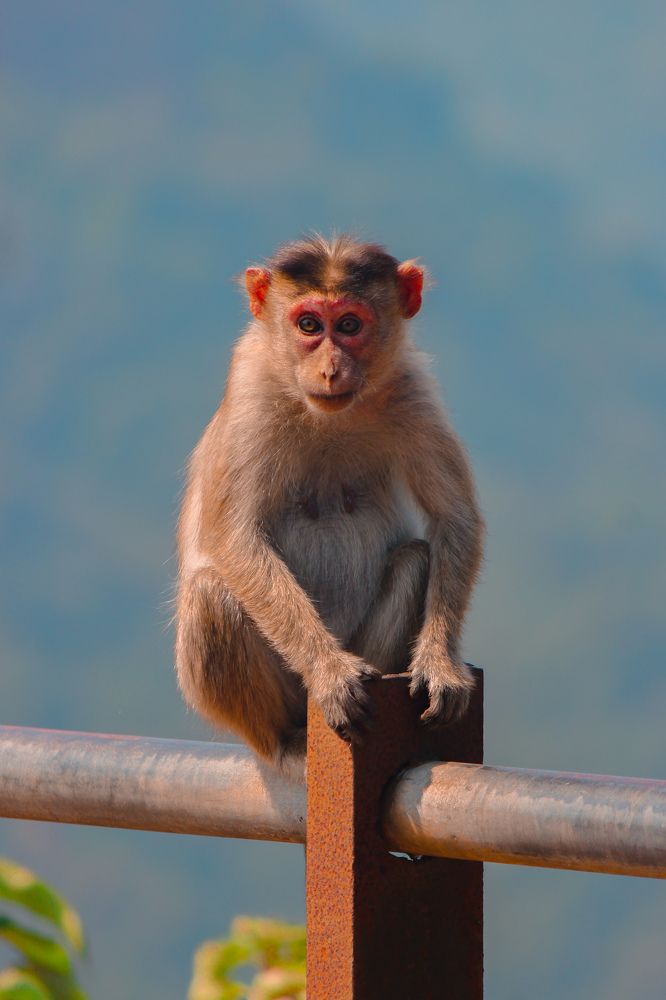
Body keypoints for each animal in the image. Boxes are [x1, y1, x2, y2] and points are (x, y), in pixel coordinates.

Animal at [174, 234, 484, 764]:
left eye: (350, 325)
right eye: (309, 325)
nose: (330, 369)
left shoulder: (411, 388)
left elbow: (454, 519)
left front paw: (440, 664)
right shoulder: (253, 389)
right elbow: (233, 537)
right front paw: (330, 673)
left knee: (415, 559)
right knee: (210, 594)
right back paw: (290, 737)